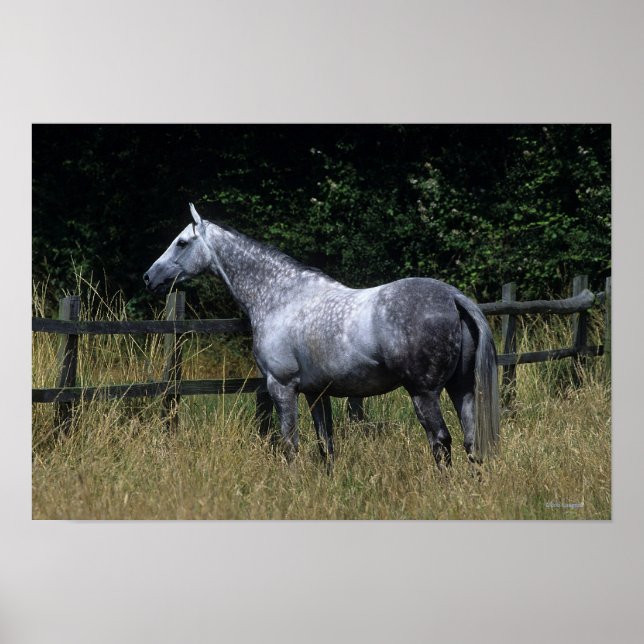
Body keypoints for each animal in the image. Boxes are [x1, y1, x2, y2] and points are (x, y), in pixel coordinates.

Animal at [144, 203, 500, 468]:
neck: (281, 297)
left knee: (441, 442)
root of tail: (452, 297)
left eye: (182, 242)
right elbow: (325, 445)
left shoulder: (282, 387)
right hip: (462, 389)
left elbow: (290, 445)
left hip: (424, 393)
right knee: (470, 441)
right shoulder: (317, 393)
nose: (149, 277)